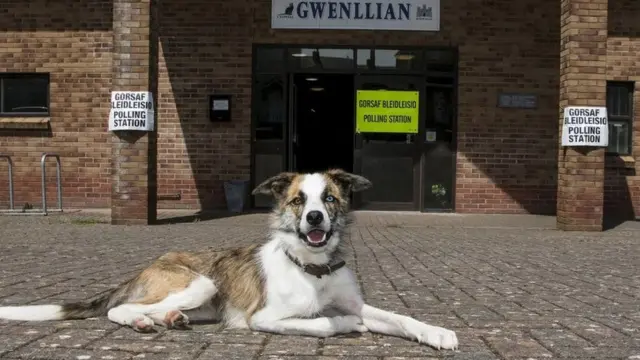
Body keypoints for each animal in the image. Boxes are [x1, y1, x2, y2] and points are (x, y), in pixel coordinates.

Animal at [0, 170, 460, 350]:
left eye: (329, 198)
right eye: (298, 200)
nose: (314, 217)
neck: (312, 269)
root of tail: (145, 266)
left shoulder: (358, 301)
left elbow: (400, 318)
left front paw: (436, 332)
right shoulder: (265, 319)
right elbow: (324, 323)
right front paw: (346, 324)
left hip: (205, 300)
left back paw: (169, 320)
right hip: (200, 281)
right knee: (120, 309)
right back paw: (143, 321)